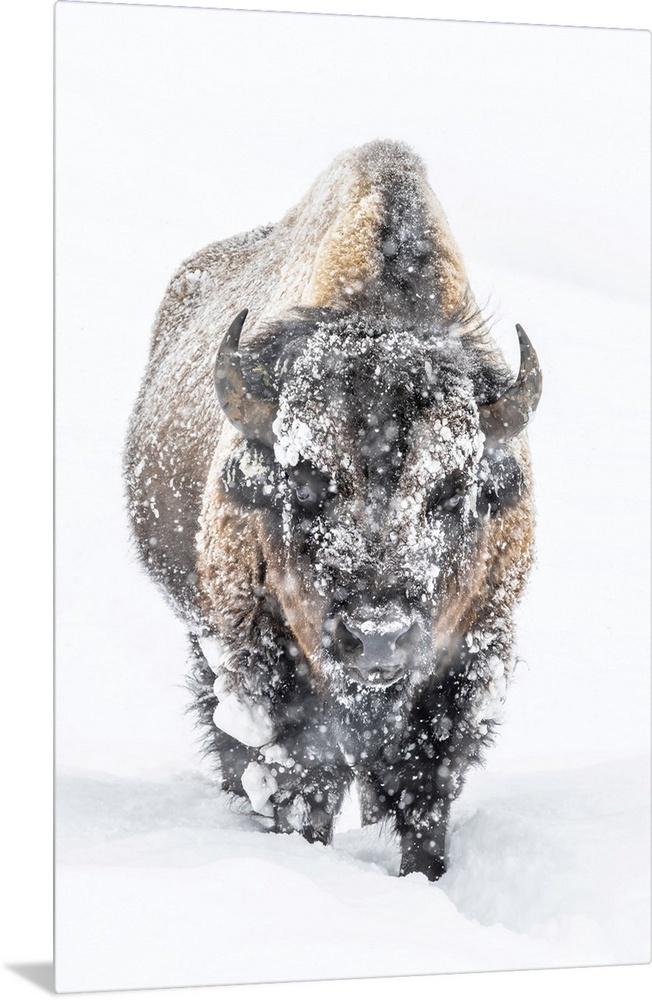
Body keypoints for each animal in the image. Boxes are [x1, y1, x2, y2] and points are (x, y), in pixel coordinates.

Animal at [124, 140, 542, 881]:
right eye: (304, 482)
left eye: (453, 491)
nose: (377, 638)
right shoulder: (270, 664)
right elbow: (304, 780)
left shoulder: (465, 664)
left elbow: (426, 792)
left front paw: (426, 878)